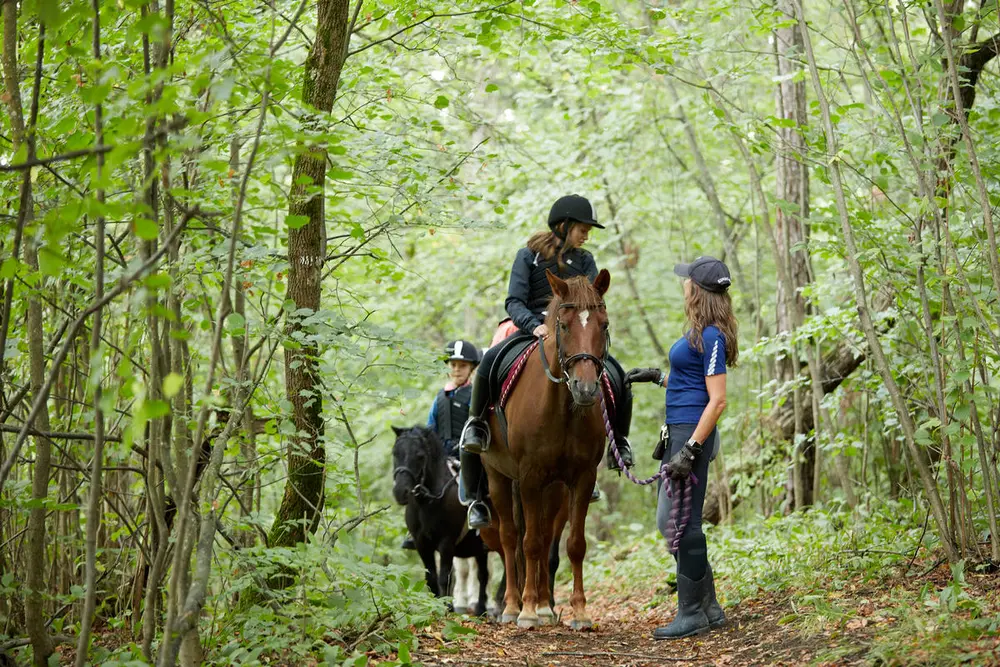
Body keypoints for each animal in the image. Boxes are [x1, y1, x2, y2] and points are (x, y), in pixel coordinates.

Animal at [390, 428, 488, 616]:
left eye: (420, 456)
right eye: (395, 453)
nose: (400, 492)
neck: (428, 501)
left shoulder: (446, 543)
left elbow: (444, 577)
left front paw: (447, 607)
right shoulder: (422, 544)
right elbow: (431, 577)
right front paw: (433, 607)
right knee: (483, 575)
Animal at [482, 268, 612, 628]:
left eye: (604, 324)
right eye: (564, 325)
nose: (585, 388)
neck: (564, 408)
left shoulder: (582, 478)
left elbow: (574, 544)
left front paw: (579, 612)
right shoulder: (529, 476)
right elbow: (530, 543)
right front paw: (526, 611)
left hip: (552, 488)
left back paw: (544, 605)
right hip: (498, 475)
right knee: (511, 537)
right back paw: (513, 607)